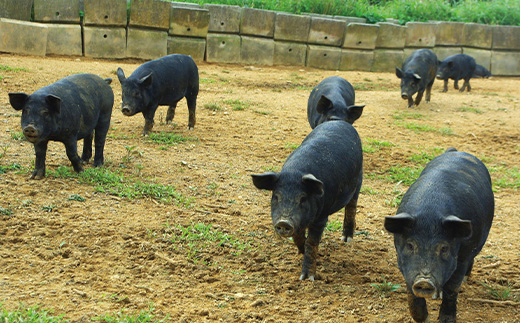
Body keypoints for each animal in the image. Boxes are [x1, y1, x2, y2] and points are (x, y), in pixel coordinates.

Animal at [252, 121, 362, 280]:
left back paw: (346, 239)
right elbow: (298, 236)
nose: (284, 222)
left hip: (359, 180)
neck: (296, 172)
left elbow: (312, 242)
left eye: (303, 198)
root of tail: (340, 122)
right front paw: (301, 251)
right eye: (276, 196)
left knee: (351, 207)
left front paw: (306, 278)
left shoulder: (322, 217)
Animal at [384, 149, 494, 323]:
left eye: (444, 248)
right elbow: (411, 290)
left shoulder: (463, 255)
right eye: (410, 245)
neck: (430, 212)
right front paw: (424, 318)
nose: (424, 281)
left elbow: (452, 288)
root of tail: (457, 151)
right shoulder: (403, 260)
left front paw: (445, 320)